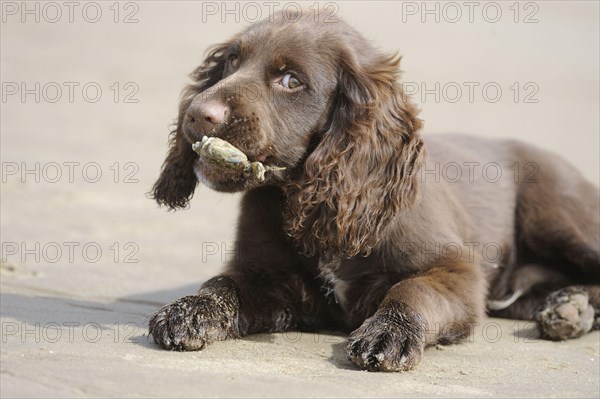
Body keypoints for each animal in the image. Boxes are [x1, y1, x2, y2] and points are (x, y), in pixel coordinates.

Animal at [148, 13, 596, 376]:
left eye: (291, 81)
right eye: (231, 62)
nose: (197, 113)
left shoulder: (458, 270)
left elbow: (410, 290)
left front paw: (389, 333)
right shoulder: (269, 277)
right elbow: (223, 284)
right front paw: (189, 309)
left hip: (555, 218)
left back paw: (571, 308)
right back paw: (571, 306)